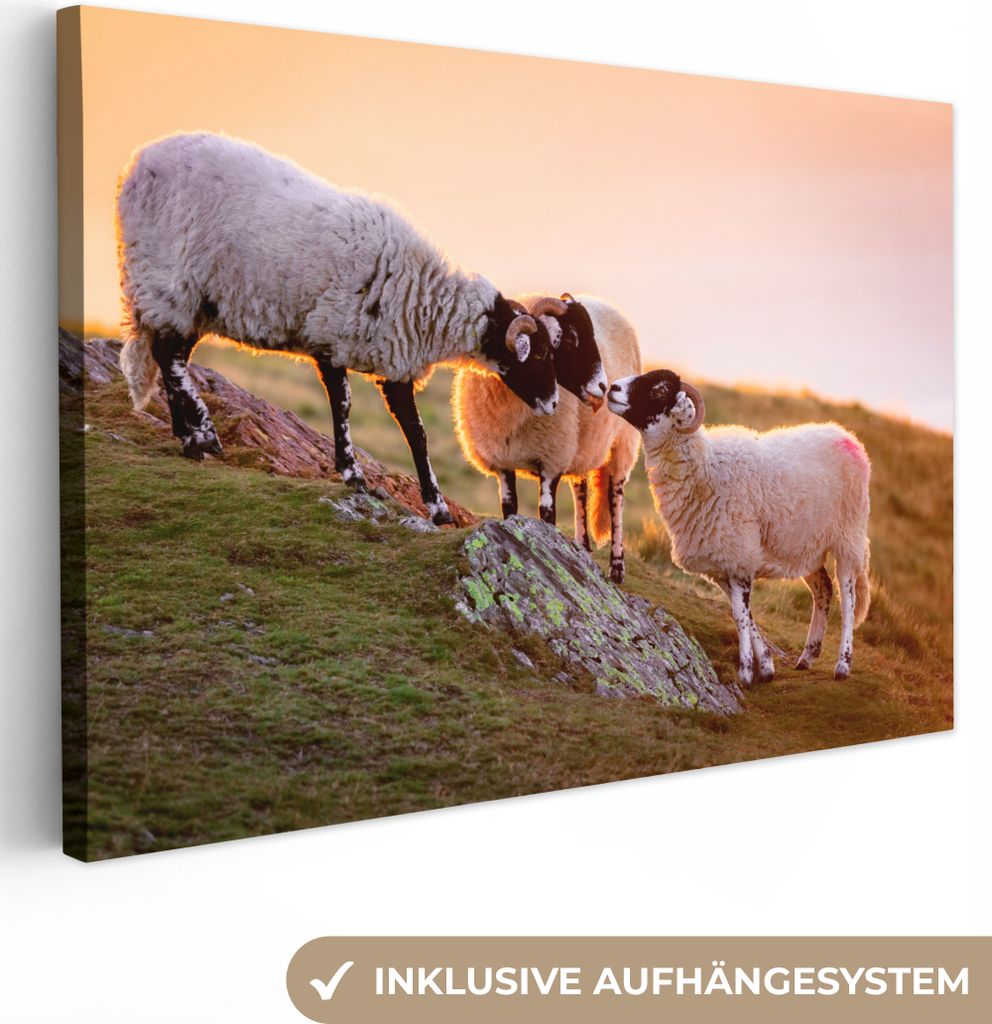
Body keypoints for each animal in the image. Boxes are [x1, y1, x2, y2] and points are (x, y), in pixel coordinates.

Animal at [116, 131, 559, 525]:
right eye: (537, 353)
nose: (554, 404)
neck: (424, 297)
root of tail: (138, 162)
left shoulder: (393, 362)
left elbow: (416, 432)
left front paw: (437, 508)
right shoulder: (330, 337)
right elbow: (344, 406)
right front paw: (352, 474)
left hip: (194, 303)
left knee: (170, 357)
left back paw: (187, 437)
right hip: (167, 280)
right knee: (168, 356)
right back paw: (203, 435)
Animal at [453, 293, 642, 582]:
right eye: (571, 338)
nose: (603, 386)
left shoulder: (552, 460)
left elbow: (547, 514)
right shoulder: (503, 462)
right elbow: (509, 507)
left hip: (623, 443)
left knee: (616, 498)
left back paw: (617, 568)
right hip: (581, 447)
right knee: (581, 492)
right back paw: (583, 547)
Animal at [607, 369, 871, 683]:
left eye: (659, 390)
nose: (612, 388)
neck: (705, 468)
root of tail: (848, 437)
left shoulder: (741, 557)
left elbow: (741, 615)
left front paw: (746, 671)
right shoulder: (722, 563)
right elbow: (741, 613)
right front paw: (765, 666)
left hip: (849, 537)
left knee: (848, 598)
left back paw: (843, 664)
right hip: (806, 547)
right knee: (824, 590)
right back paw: (807, 657)